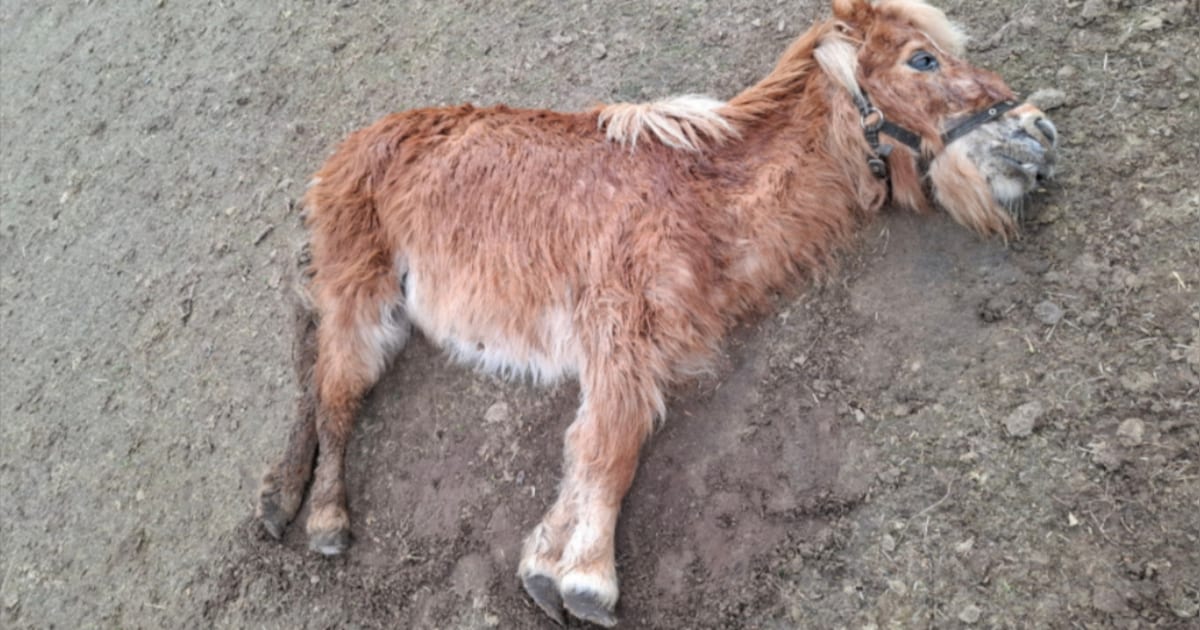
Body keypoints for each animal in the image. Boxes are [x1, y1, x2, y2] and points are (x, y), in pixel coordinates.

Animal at [255, 0, 1058, 625]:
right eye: (923, 60)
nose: (1039, 134)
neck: (703, 197)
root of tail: (343, 153)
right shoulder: (619, 331)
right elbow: (609, 448)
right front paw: (587, 581)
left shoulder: (632, 351)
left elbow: (586, 448)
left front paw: (546, 563)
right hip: (364, 293)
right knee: (338, 394)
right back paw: (323, 517)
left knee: (312, 372)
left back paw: (277, 498)